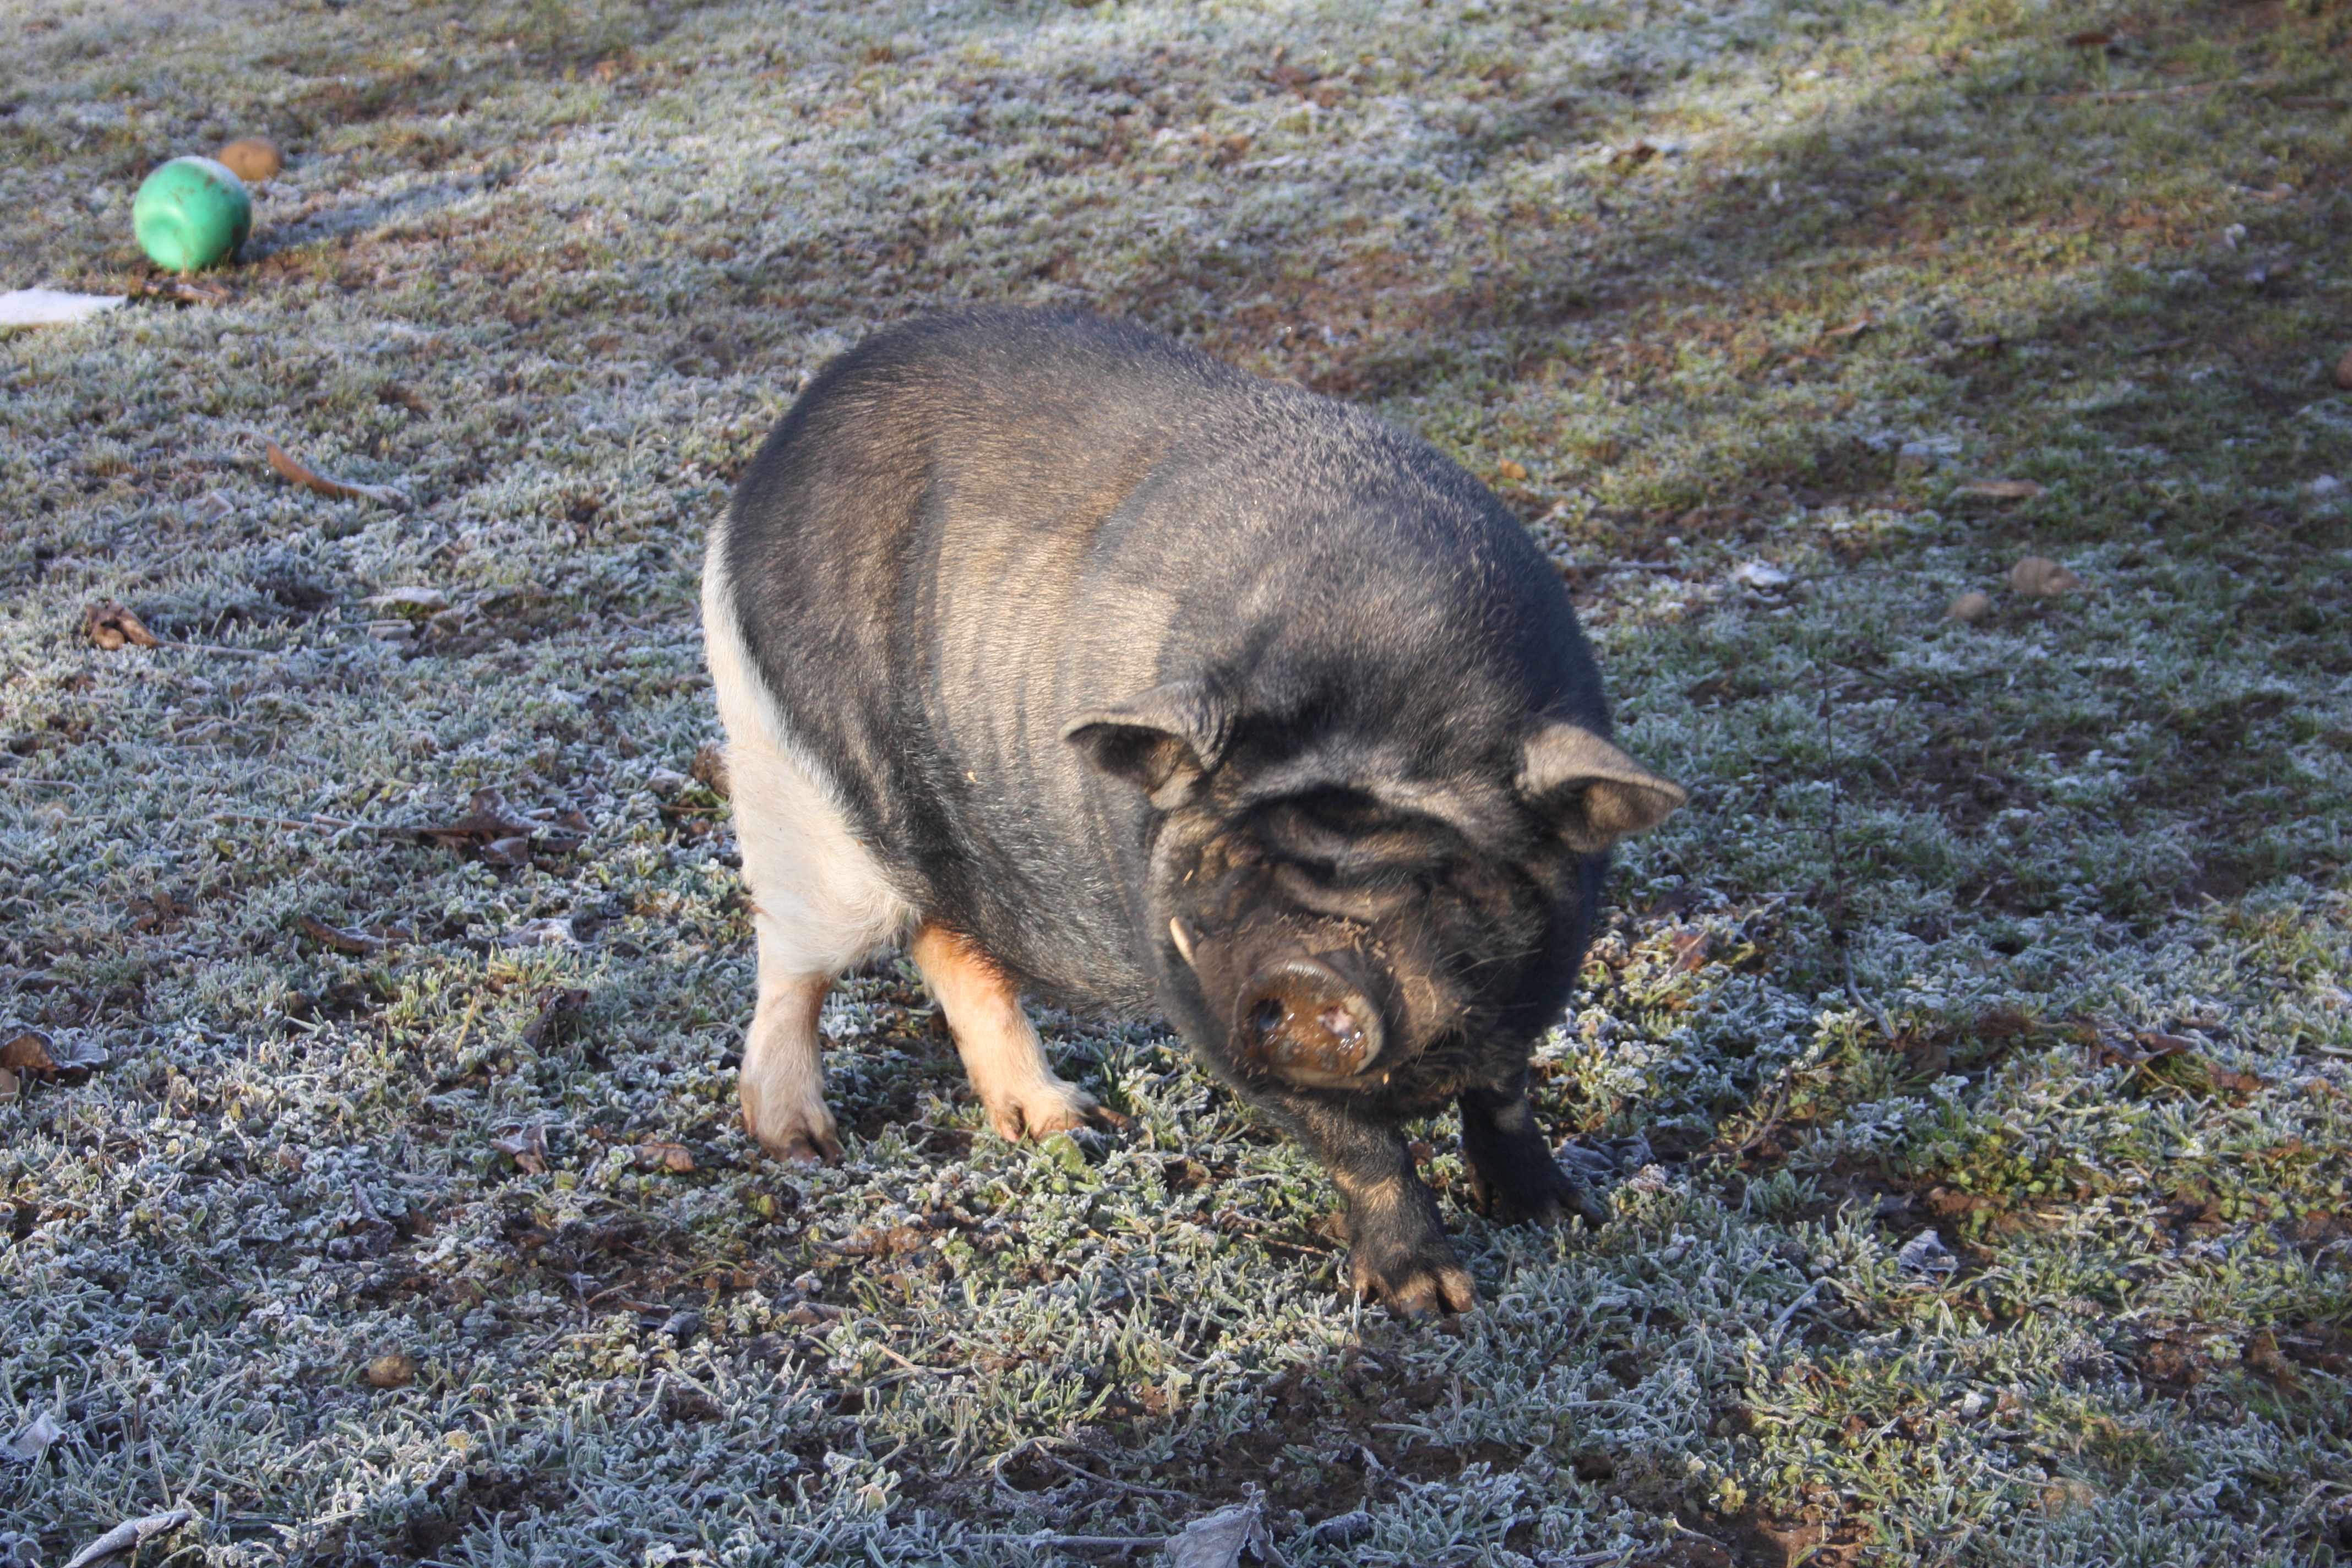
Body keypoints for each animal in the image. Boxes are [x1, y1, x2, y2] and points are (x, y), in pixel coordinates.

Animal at [702, 307, 1684, 1317]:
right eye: (1240, 854)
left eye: (1446, 873)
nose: (1310, 974)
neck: (1376, 671)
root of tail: (772, 455)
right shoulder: (1197, 987)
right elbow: (1359, 1144)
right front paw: (1432, 1303)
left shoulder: (1543, 966)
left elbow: (1503, 1093)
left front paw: (1567, 1220)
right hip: (797, 791)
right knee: (790, 954)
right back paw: (801, 1143)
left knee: (952, 948)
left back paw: (1069, 1127)